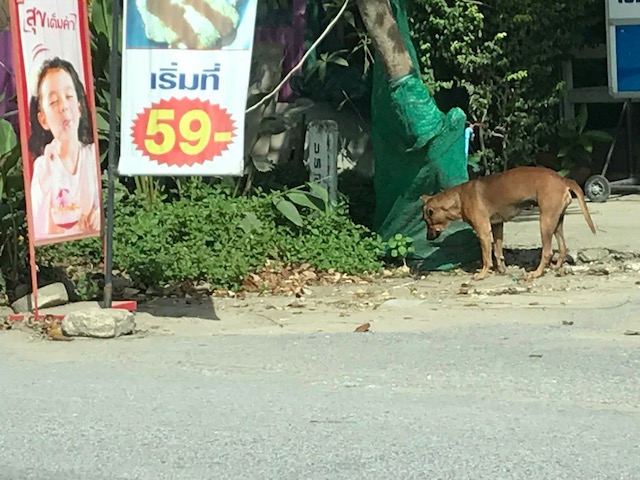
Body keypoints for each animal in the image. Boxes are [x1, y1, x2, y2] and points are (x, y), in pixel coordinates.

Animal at [419, 166, 596, 280]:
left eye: (428, 222)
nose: (427, 238)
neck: (458, 199)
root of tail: (563, 179)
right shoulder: (497, 226)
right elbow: (498, 252)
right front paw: (502, 270)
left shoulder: (483, 232)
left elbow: (486, 257)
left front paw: (482, 274)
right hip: (557, 221)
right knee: (562, 247)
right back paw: (556, 267)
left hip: (545, 222)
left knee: (547, 252)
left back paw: (536, 273)